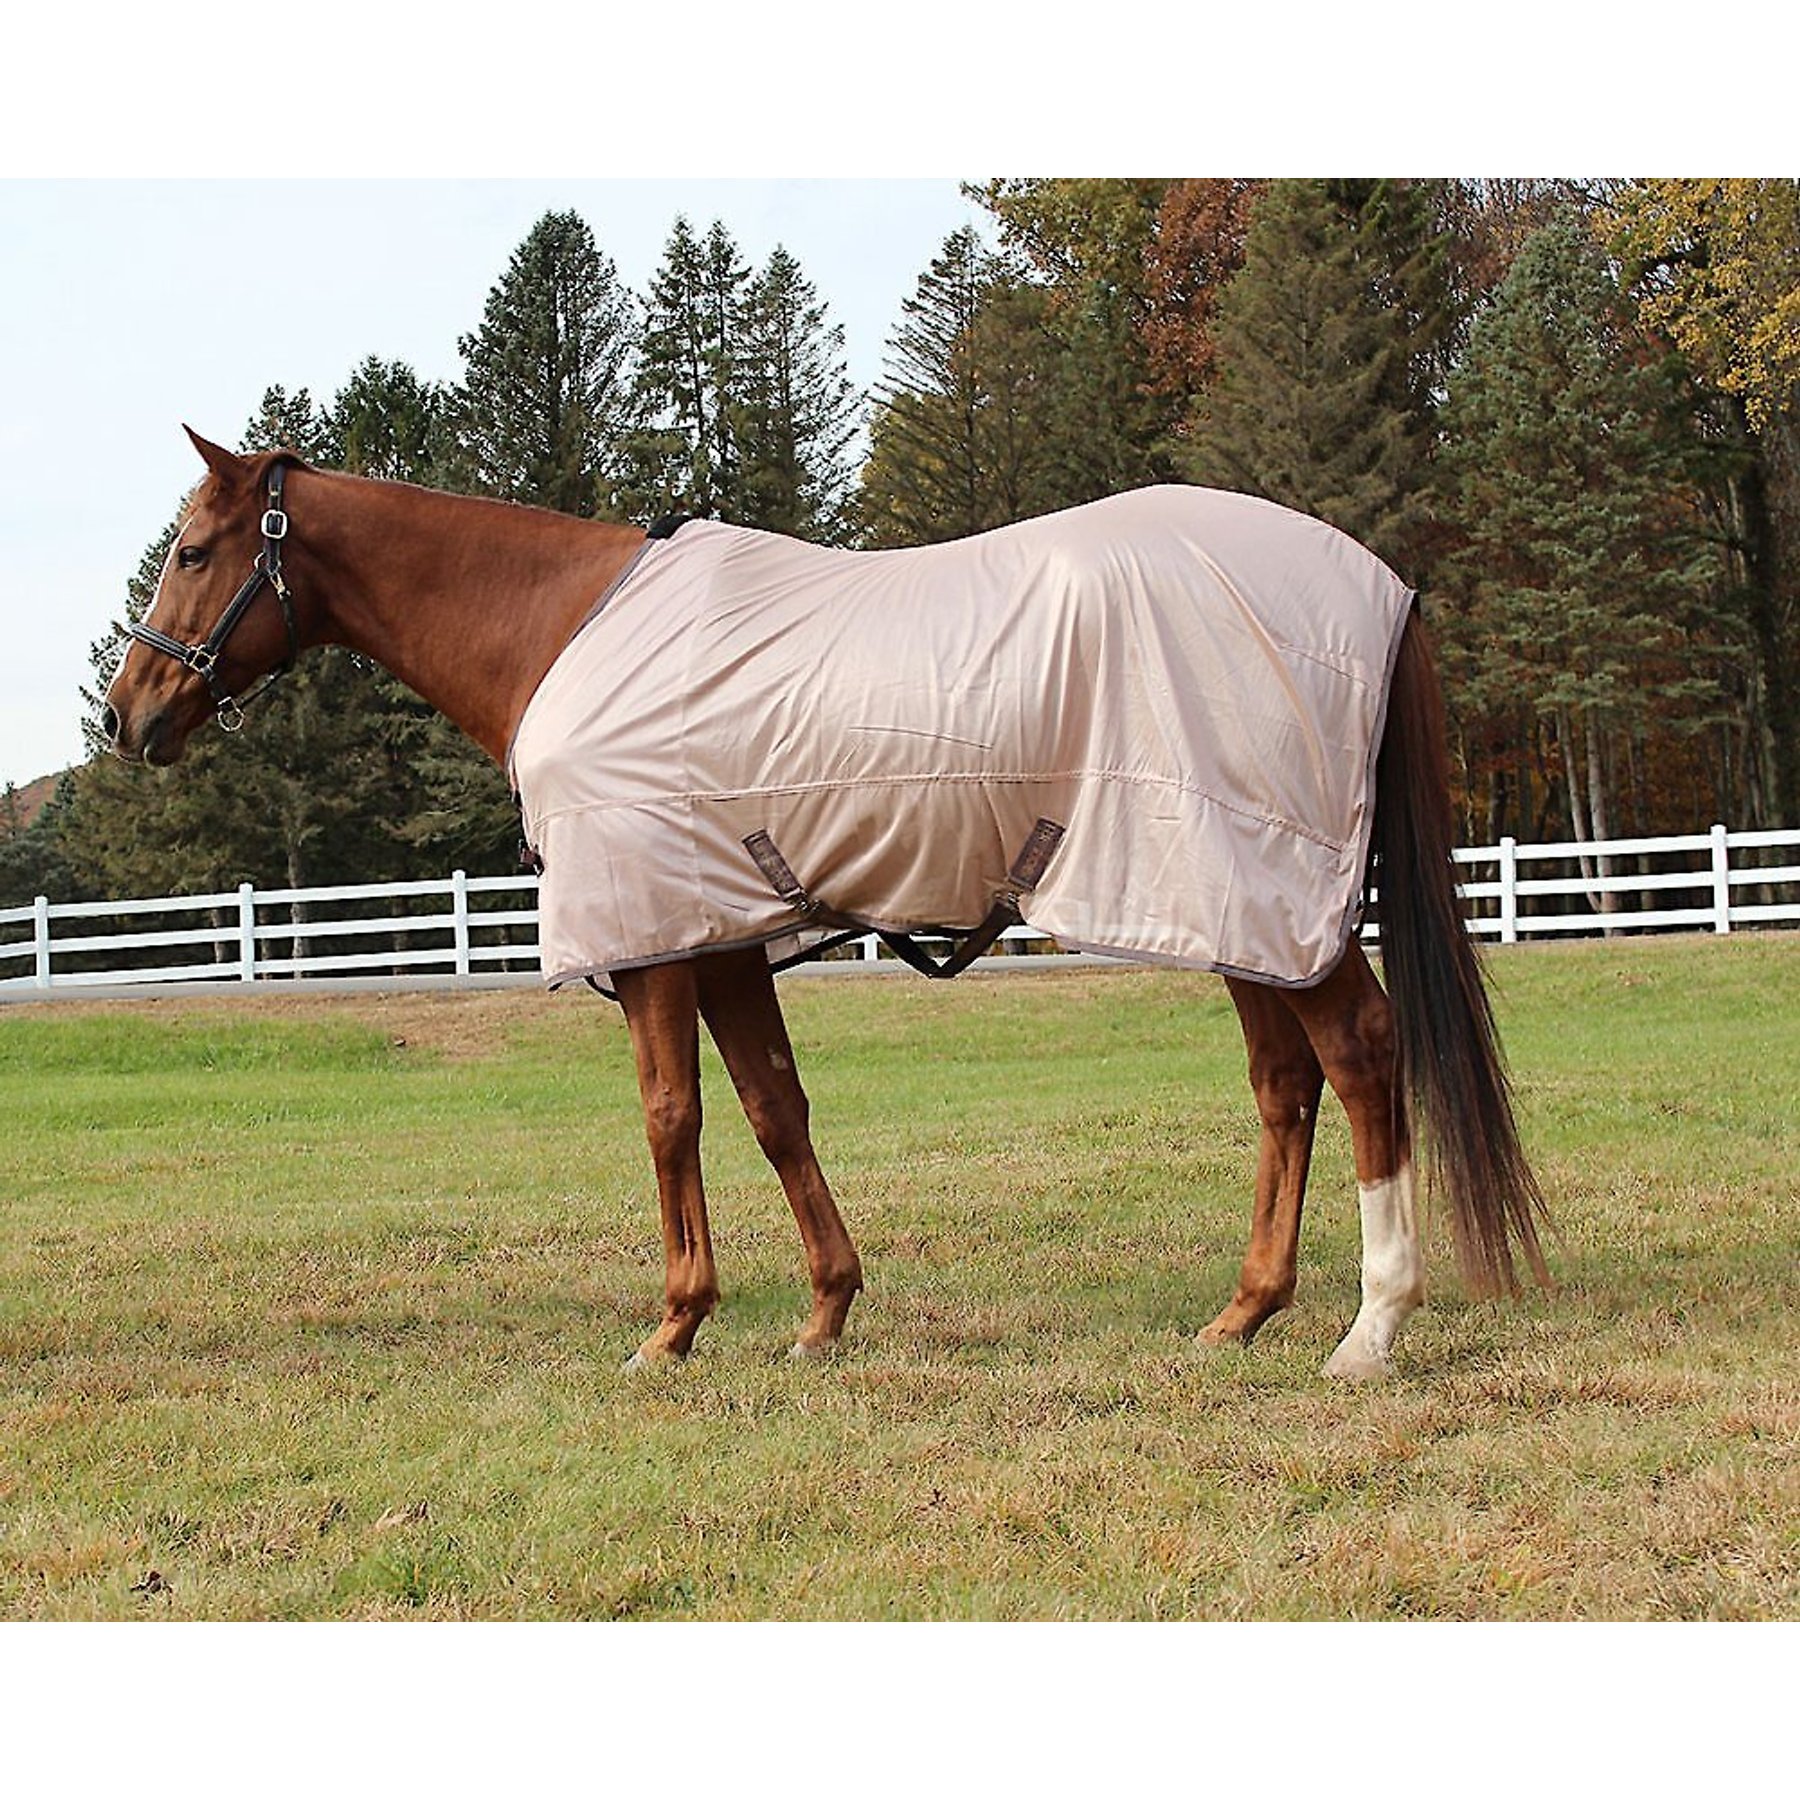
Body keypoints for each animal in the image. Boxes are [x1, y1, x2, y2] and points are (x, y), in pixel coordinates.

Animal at [103, 429, 1550, 1378]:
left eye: (190, 550)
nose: (127, 715)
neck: (563, 628)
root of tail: (1377, 584)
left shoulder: (654, 944)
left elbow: (671, 1119)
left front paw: (676, 1325)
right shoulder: (725, 937)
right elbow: (772, 1111)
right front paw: (822, 1311)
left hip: (1268, 893)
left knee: (1359, 1057)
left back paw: (1372, 1327)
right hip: (1229, 905)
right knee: (1285, 1084)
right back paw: (1245, 1312)